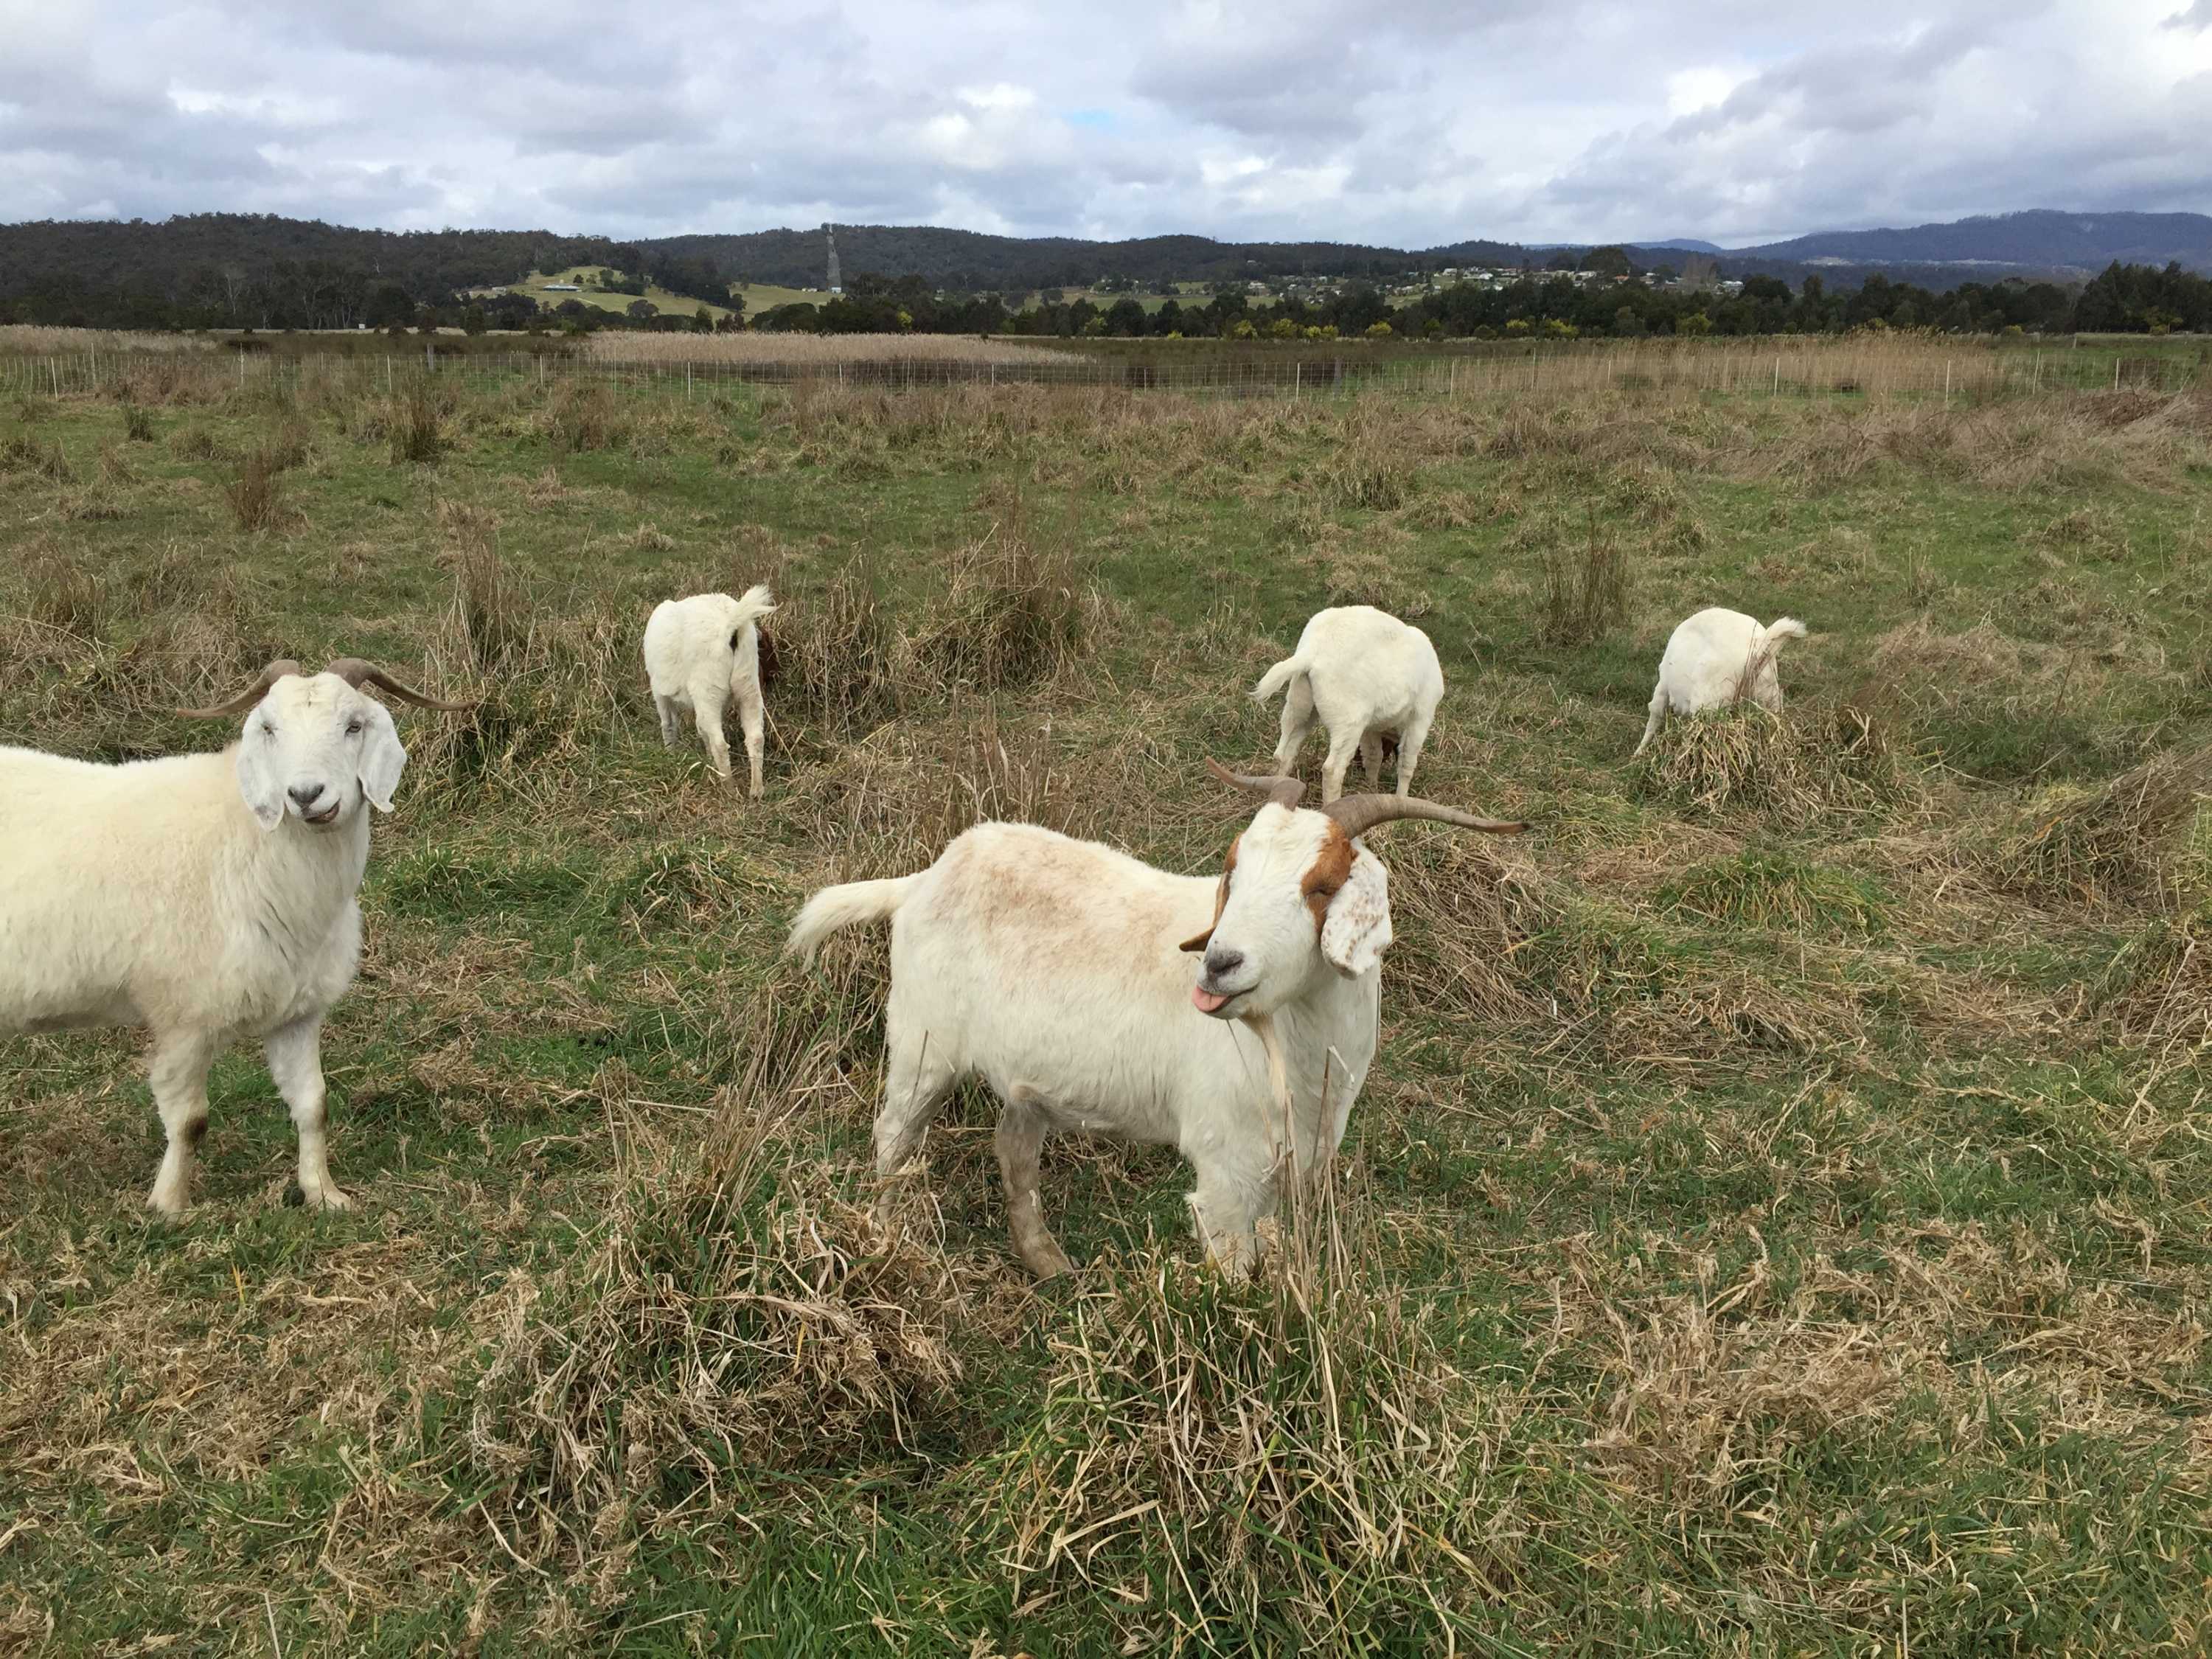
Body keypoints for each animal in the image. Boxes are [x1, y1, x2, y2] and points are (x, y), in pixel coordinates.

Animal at [0, 658, 465, 1215]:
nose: (306, 796)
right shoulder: (185, 1017)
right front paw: (168, 1208)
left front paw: (323, 1193)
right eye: (269, 728)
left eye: (354, 726)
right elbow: (190, 1122)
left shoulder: (298, 1011)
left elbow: (314, 1105)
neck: (249, 840)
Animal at [643, 585, 778, 797]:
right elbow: (701, 727)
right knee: (755, 737)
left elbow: (669, 724)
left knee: (720, 744)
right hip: (748, 684)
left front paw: (671, 754)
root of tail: (731, 623)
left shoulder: (660, 693)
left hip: (708, 689)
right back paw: (756, 790)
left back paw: (729, 789)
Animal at [786, 762, 1524, 1277]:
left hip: (1024, 1076)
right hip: (921, 1043)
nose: (1220, 963)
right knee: (895, 1134)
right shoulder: (1225, 1175)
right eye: (1232, 869)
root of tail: (922, 880)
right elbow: (1236, 1275)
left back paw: (1048, 1262)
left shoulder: (1295, 1164)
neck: (1301, 1051)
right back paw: (884, 1233)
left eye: (1321, 886)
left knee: (1014, 1146)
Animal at [1253, 605, 1446, 803]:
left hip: (1300, 702)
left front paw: (1371, 790)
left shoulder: (1371, 728)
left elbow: (1373, 756)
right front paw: (1401, 799)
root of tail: (1313, 650)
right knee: (1332, 770)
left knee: (1283, 753)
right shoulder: (1421, 717)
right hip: (1348, 720)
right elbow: (1407, 763)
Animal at [1634, 607, 1809, 755]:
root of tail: (1759, 644)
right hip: (1768, 695)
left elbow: (1654, 715)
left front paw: (1639, 753)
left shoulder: (1663, 684)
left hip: (1708, 701)